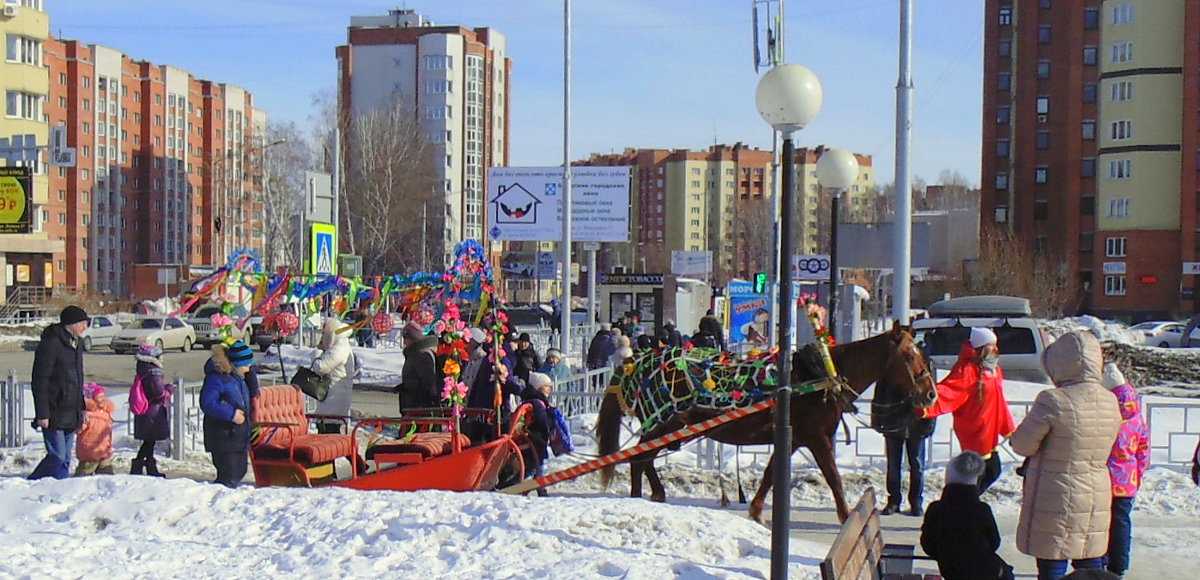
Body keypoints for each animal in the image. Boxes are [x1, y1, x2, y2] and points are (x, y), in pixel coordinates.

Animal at [600, 321, 936, 521]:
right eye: (909, 356)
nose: (931, 394)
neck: (820, 374)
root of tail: (636, 362)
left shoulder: (793, 438)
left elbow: (771, 474)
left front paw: (757, 511)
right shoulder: (817, 438)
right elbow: (834, 478)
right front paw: (846, 516)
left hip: (672, 427)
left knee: (642, 457)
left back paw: (649, 495)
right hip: (665, 423)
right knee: (640, 457)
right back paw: (644, 495)